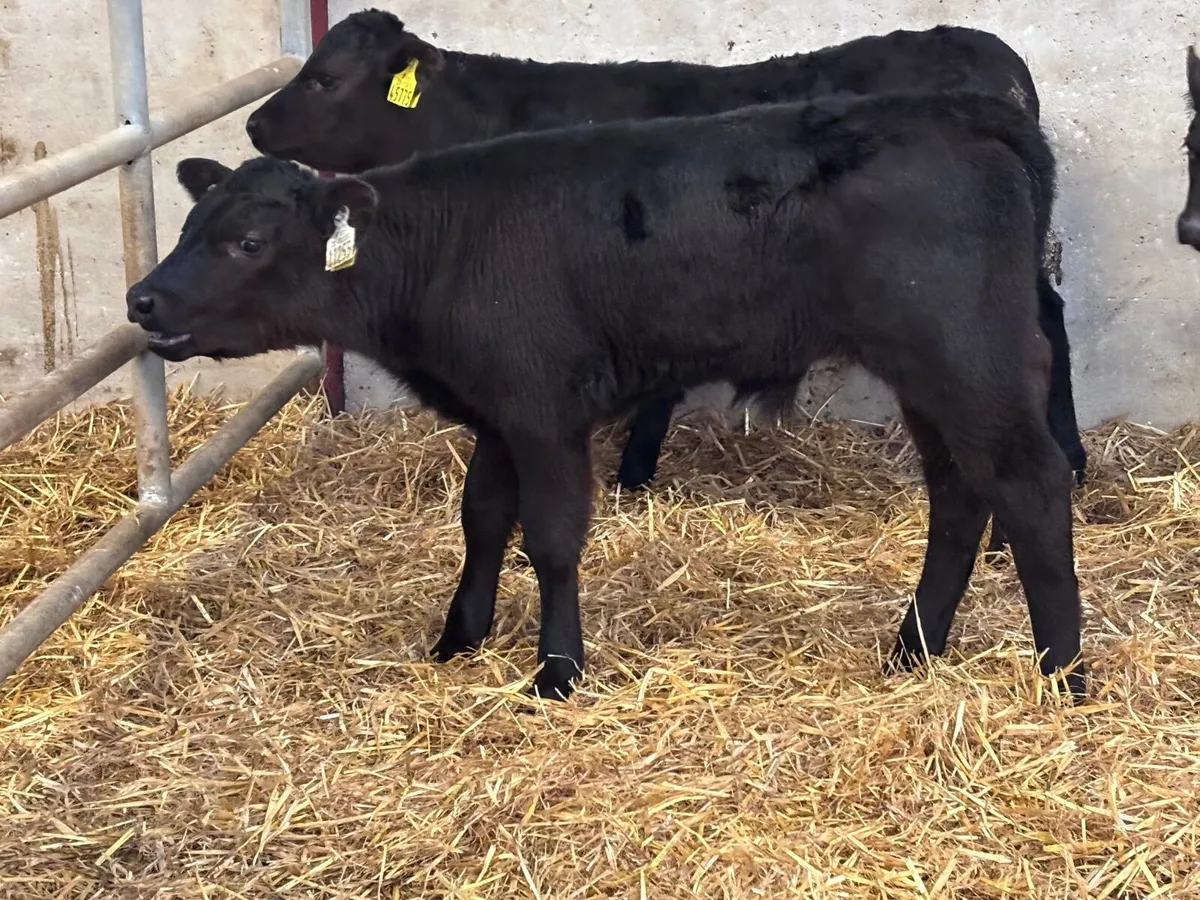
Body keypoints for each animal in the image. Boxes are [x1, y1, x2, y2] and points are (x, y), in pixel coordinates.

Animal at [128, 90, 1086, 703]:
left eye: (249, 241)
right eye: (191, 226)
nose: (142, 300)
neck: (441, 249)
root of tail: (965, 112)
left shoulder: (544, 408)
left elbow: (551, 539)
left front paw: (555, 672)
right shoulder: (498, 409)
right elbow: (482, 519)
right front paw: (458, 640)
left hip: (967, 353)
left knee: (1031, 484)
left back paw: (1064, 675)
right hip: (929, 371)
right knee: (960, 493)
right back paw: (913, 651)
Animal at [245, 9, 1088, 522]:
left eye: (322, 78)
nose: (252, 124)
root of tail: (986, 52)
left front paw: (631, 469)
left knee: (1047, 332)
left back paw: (1074, 460)